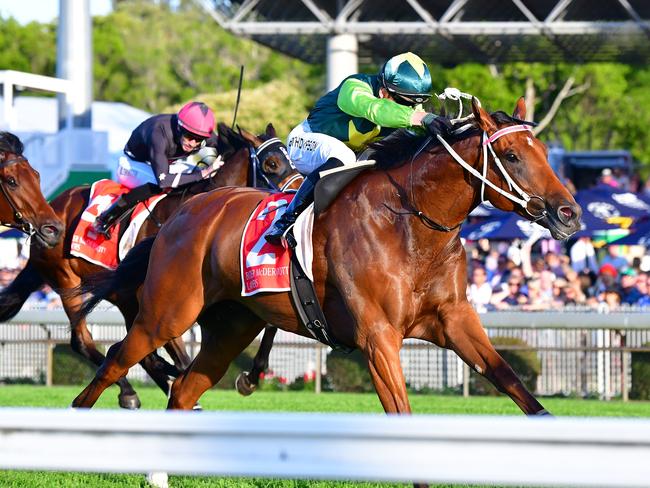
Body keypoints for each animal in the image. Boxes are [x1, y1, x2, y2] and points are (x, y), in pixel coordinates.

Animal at [0, 122, 298, 408]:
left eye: (291, 159)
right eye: (272, 163)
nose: (297, 193)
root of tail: (52, 207)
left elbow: (269, 322)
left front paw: (251, 375)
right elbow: (177, 349)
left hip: (122, 297)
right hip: (68, 281)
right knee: (84, 341)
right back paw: (131, 391)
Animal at [73, 98, 580, 416]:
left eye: (544, 151)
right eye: (511, 155)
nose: (569, 212)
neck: (410, 224)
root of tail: (183, 212)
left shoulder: (454, 319)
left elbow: (515, 384)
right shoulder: (378, 337)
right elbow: (402, 411)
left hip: (231, 327)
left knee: (183, 389)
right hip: (167, 312)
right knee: (117, 357)